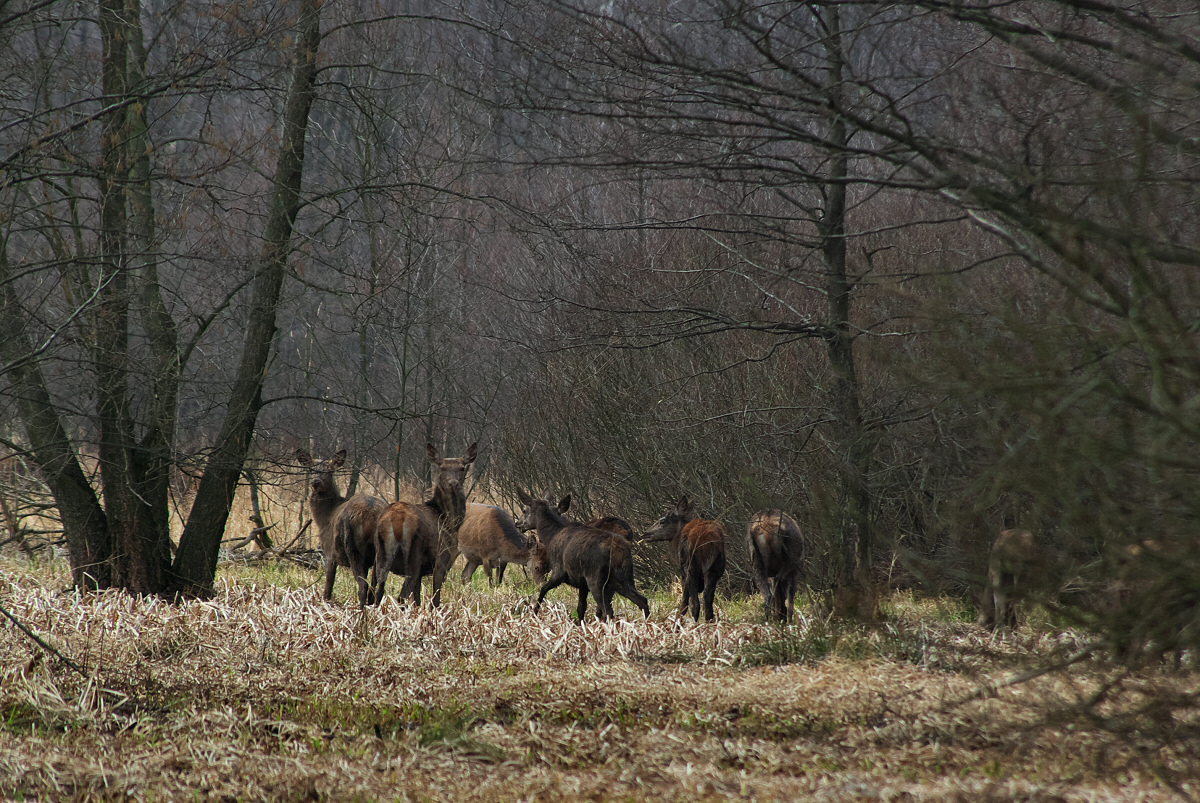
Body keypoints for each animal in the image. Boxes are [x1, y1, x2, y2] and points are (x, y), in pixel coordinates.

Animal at [294, 448, 384, 604]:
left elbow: (328, 587)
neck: (324, 518)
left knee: (363, 586)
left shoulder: (329, 551)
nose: (316, 482)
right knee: (378, 588)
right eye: (311, 469)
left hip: (353, 547)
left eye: (330, 471)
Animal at [372, 441, 475, 604]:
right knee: (401, 596)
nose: (453, 483)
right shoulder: (442, 560)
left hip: (380, 554)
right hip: (414, 554)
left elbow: (417, 601)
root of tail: (395, 520)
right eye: (442, 468)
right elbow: (435, 600)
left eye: (462, 468)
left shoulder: (422, 572)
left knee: (376, 591)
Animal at [513, 484, 648, 624]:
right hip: (623, 577)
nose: (517, 524)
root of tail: (619, 550)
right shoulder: (581, 582)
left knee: (608, 610)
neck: (550, 536)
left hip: (596, 579)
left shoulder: (559, 571)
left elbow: (543, 589)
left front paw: (534, 614)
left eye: (525, 510)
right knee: (642, 600)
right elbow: (581, 607)